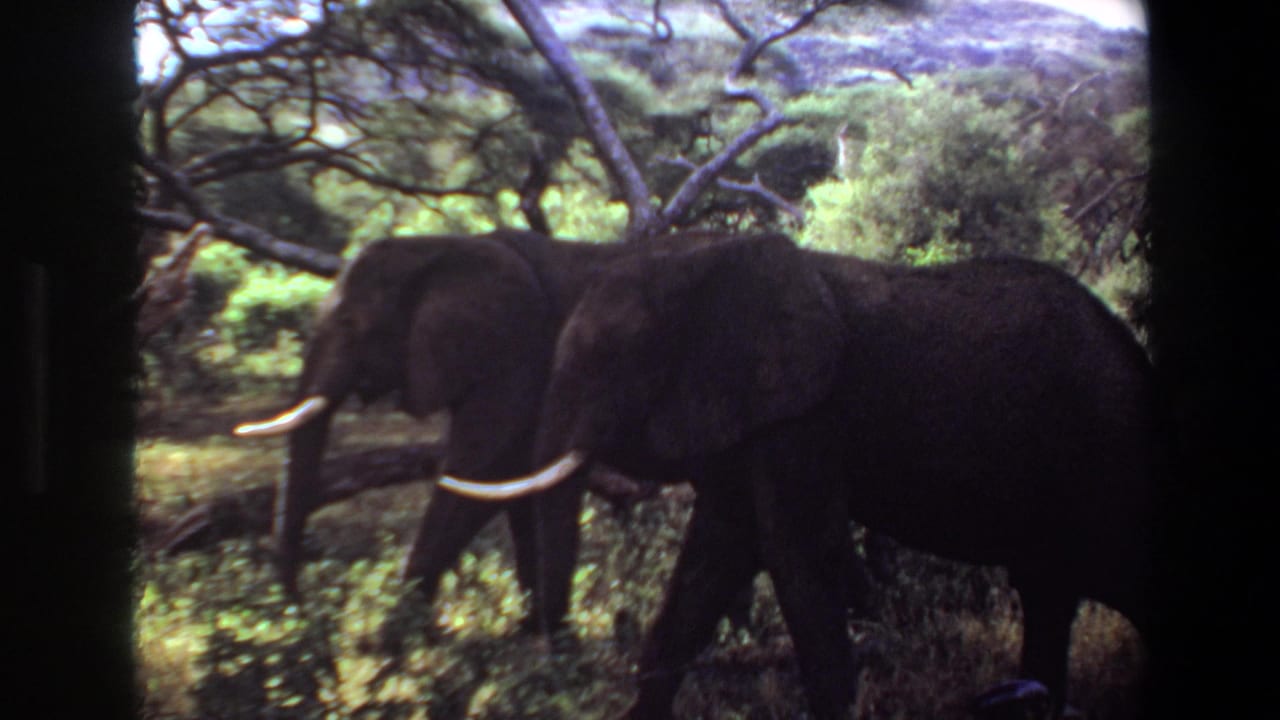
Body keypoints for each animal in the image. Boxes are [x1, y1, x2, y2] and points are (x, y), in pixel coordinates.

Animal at [440, 233, 1162, 718]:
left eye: (611, 358)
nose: (554, 666)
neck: (704, 258)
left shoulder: (804, 416)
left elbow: (794, 554)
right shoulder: (749, 416)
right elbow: (713, 558)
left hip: (1099, 456)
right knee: (1051, 590)